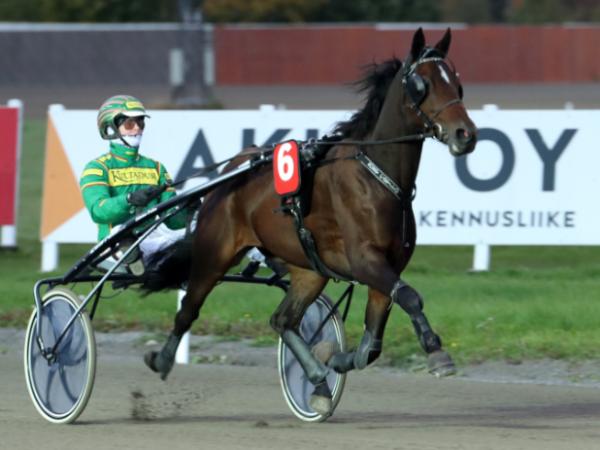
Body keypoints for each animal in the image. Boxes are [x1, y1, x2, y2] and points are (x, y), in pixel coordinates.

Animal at [143, 27, 477, 415]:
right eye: (422, 83)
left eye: (455, 81)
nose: (465, 134)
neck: (377, 177)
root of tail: (230, 174)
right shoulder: (365, 261)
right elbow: (410, 296)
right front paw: (437, 353)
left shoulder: (386, 267)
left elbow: (371, 346)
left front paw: (334, 359)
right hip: (215, 253)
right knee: (188, 310)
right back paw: (162, 359)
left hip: (309, 271)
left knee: (283, 320)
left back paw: (317, 381)